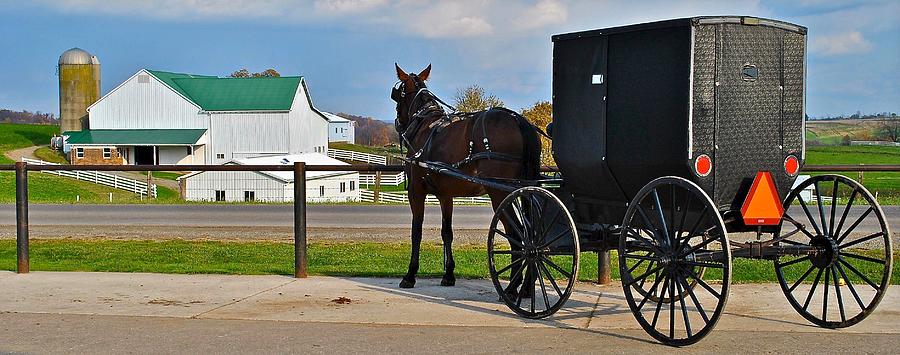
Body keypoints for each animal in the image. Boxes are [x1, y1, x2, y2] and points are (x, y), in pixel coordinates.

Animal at [388, 63, 540, 290]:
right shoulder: (446, 195)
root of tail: (519, 121)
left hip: (499, 193)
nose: (398, 122)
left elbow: (416, 231)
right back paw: (528, 285)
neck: (424, 125)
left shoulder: (416, 191)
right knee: (531, 233)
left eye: (397, 95)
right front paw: (449, 273)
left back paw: (513, 288)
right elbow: (446, 232)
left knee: (517, 234)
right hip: (525, 188)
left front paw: (410, 274)